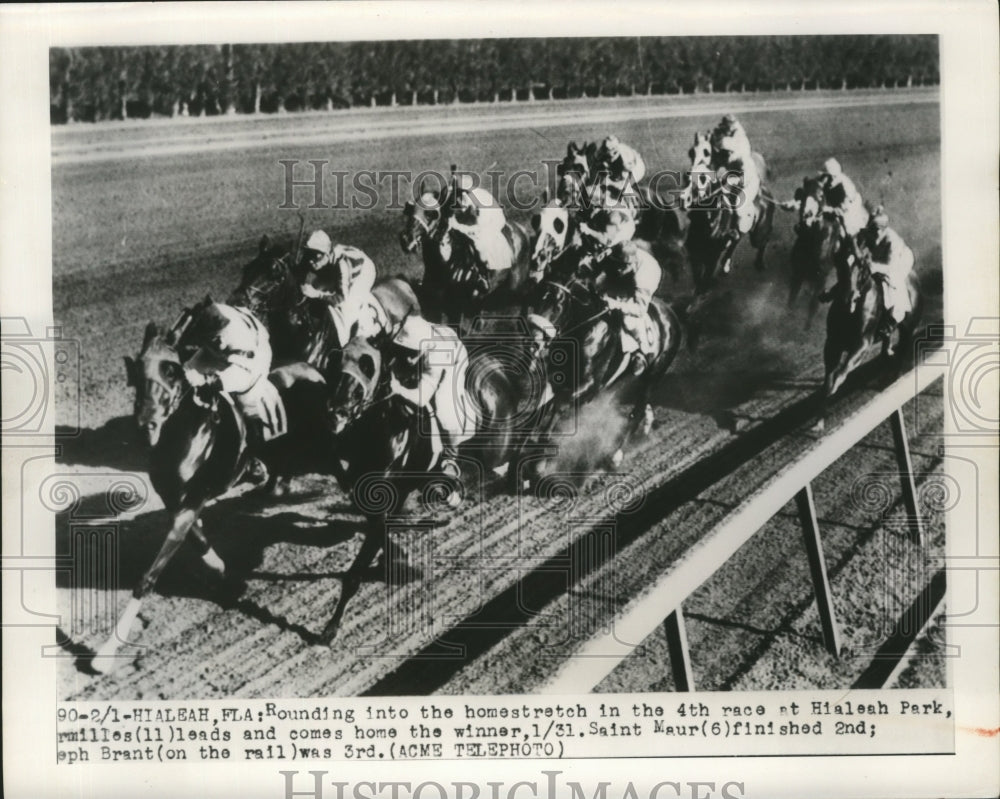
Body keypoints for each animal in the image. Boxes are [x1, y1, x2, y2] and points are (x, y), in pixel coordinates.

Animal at [400, 183, 536, 330]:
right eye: (409, 210)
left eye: (431, 214)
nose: (407, 239)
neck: (444, 265)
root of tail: (522, 230)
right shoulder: (434, 308)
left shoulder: (457, 308)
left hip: (515, 286)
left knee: (525, 296)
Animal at [684, 131, 776, 306]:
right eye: (691, 152)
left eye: (707, 153)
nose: (691, 178)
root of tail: (766, 191)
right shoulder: (694, 256)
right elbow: (698, 279)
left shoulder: (711, 258)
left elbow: (704, 282)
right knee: (736, 240)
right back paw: (726, 264)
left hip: (759, 233)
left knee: (764, 239)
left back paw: (760, 263)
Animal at [788, 175, 844, 324]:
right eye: (803, 195)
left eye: (821, 196)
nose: (806, 219)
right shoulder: (798, 272)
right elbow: (791, 300)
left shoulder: (821, 278)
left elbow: (813, 306)